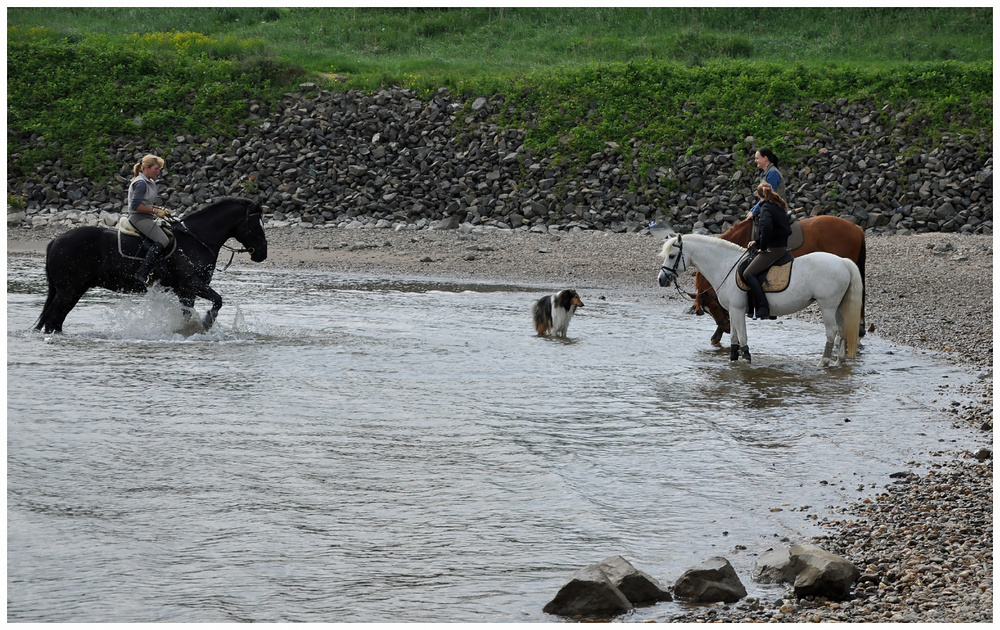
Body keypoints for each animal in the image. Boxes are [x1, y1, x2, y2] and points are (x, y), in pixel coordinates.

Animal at [37, 198, 268, 336]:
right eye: (256, 225)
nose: (263, 254)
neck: (196, 240)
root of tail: (55, 241)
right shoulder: (192, 284)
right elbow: (218, 301)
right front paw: (206, 323)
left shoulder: (186, 291)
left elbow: (188, 313)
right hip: (69, 290)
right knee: (53, 319)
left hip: (72, 290)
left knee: (56, 320)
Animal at [660, 235, 864, 368]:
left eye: (671, 256)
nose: (661, 280)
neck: (725, 265)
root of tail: (843, 262)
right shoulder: (733, 311)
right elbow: (734, 337)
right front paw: (733, 360)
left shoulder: (737, 309)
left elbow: (742, 336)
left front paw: (746, 359)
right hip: (838, 307)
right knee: (842, 329)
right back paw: (839, 360)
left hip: (827, 306)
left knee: (832, 332)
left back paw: (824, 362)